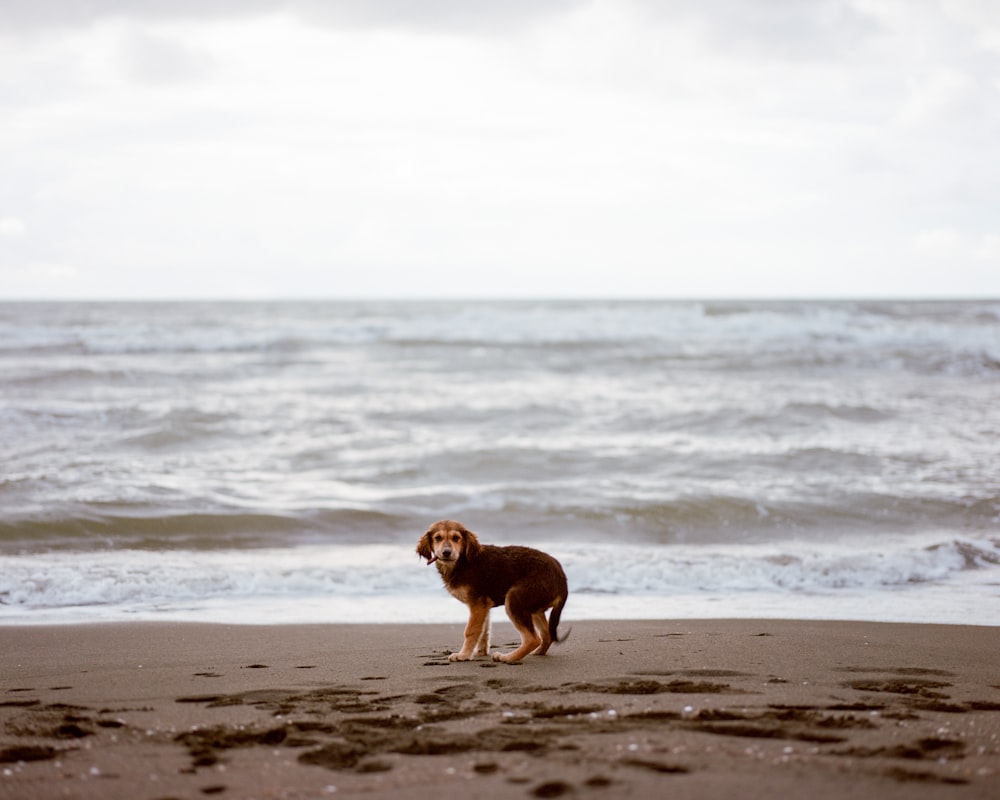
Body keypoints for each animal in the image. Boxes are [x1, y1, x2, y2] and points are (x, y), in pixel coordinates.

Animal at [416, 520, 572, 664]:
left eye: (456, 538)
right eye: (438, 538)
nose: (446, 553)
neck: (463, 561)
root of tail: (562, 579)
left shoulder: (477, 604)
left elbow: (471, 631)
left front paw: (463, 655)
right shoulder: (483, 606)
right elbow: (483, 631)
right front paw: (479, 652)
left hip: (515, 599)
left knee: (532, 639)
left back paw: (507, 658)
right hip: (534, 607)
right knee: (546, 635)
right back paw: (537, 652)